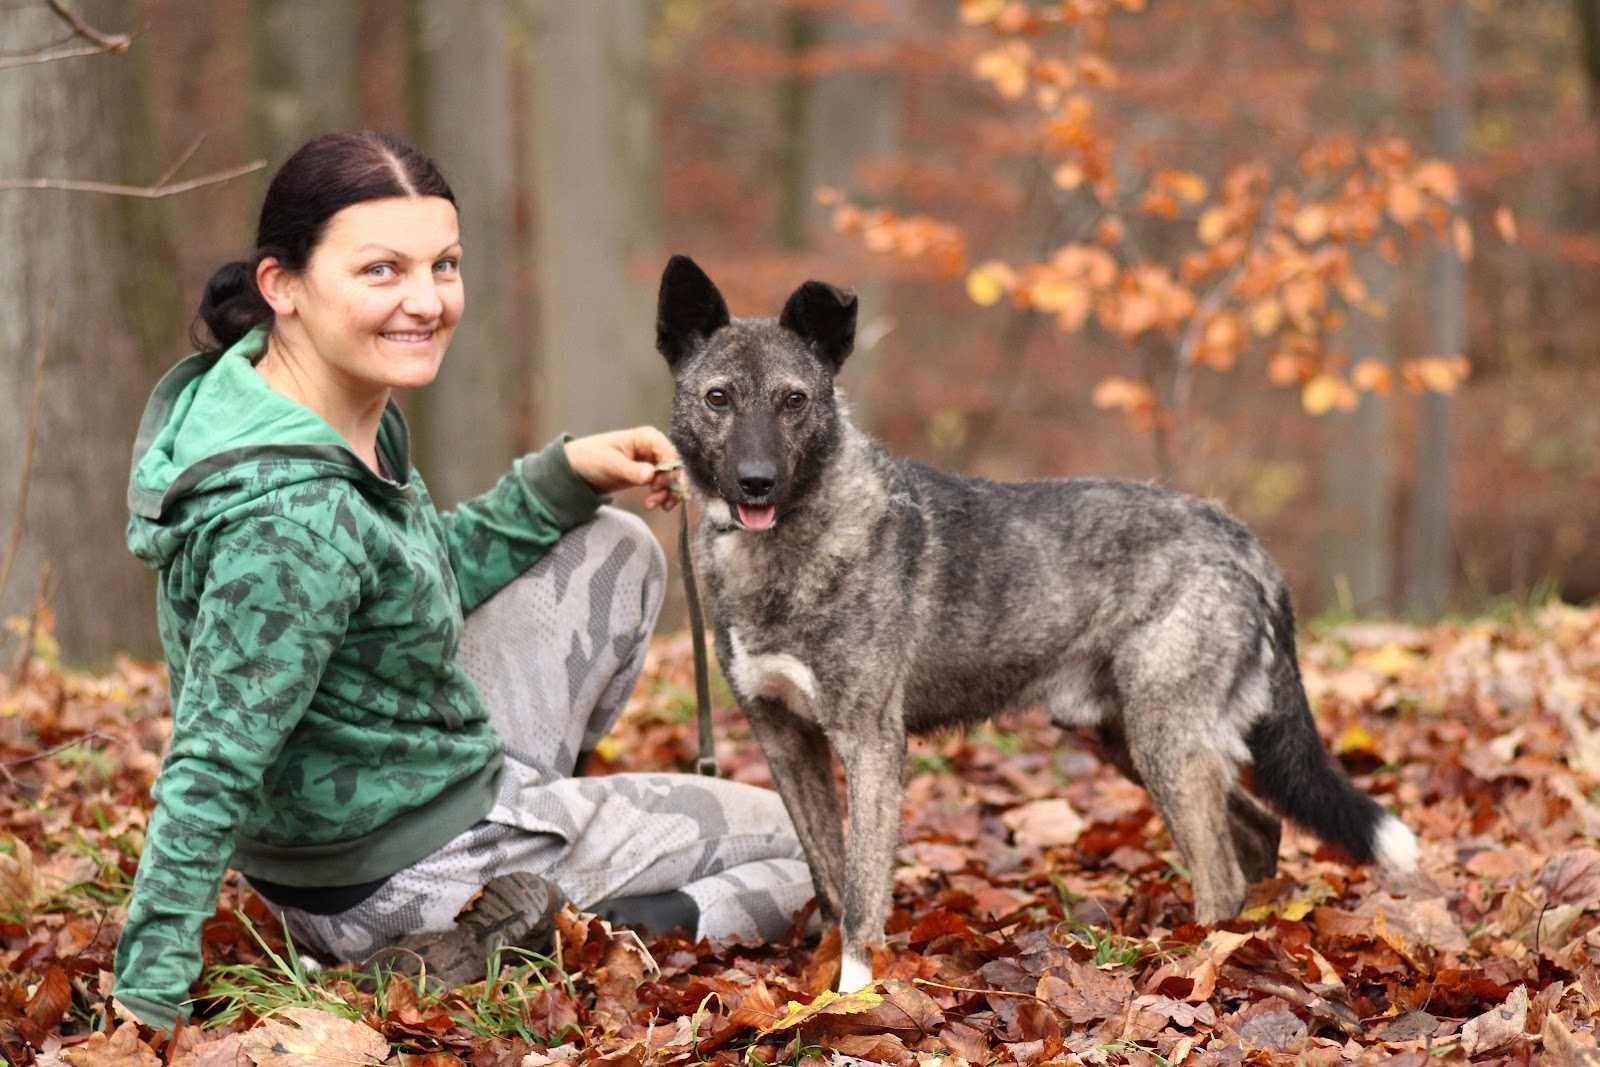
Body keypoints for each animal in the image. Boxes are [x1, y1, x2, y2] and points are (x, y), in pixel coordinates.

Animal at [656, 254, 1420, 991]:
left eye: (795, 400)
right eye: (719, 397)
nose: (756, 482)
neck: (787, 547)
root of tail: (1237, 535)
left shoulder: (871, 744)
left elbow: (863, 895)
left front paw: (855, 995)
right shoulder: (787, 742)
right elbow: (831, 878)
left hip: (1164, 737)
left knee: (1222, 871)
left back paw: (1196, 957)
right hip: (1126, 736)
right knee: (1258, 832)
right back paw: (1242, 940)